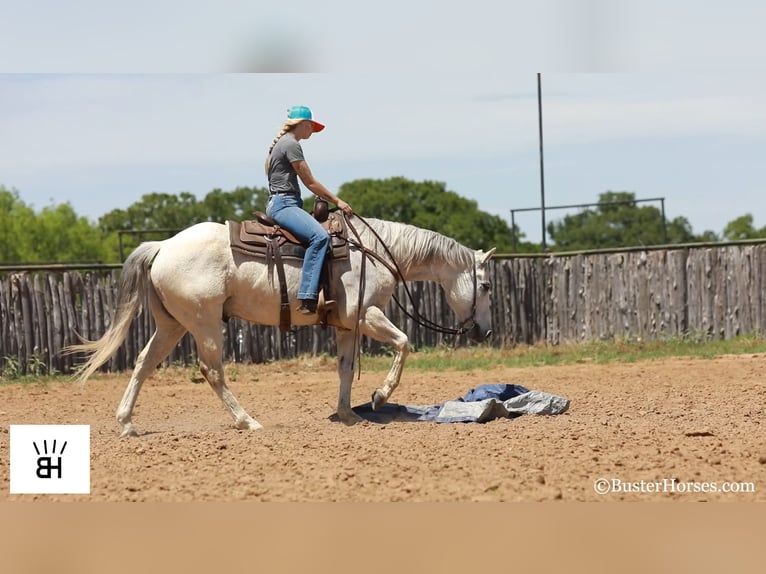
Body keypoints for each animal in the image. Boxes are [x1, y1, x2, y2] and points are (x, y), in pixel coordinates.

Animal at [69, 216, 496, 436]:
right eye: (487, 285)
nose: (485, 332)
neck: (376, 252)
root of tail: (163, 246)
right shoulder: (366, 315)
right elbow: (405, 342)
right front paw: (378, 397)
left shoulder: (346, 326)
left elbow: (344, 369)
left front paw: (348, 414)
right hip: (204, 322)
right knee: (211, 370)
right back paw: (247, 421)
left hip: (172, 324)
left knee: (144, 363)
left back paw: (127, 423)